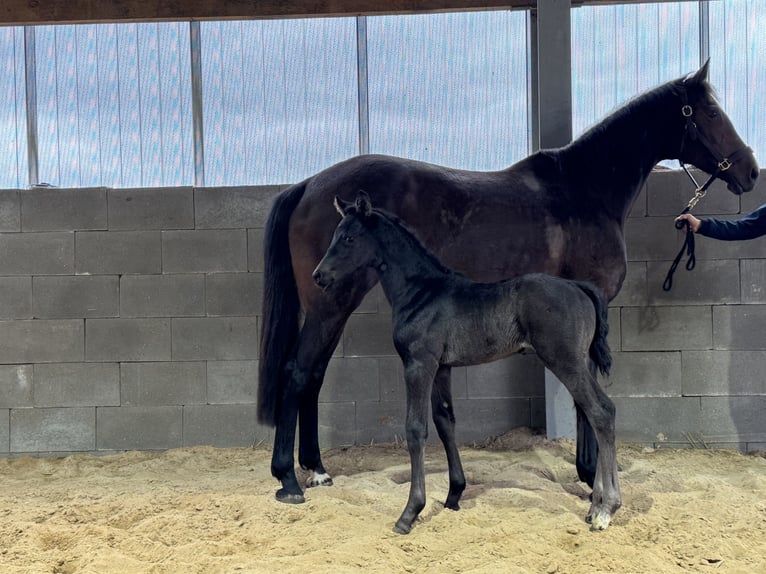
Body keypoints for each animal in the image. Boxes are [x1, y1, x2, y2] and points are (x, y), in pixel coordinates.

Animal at [313, 191, 617, 532]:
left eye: (349, 237)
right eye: (336, 235)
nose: (319, 276)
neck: (421, 291)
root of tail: (580, 286)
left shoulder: (418, 364)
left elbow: (415, 428)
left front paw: (410, 512)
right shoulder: (442, 368)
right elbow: (445, 421)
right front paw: (454, 495)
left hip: (564, 360)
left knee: (601, 411)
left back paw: (606, 510)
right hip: (582, 362)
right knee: (596, 412)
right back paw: (594, 506)